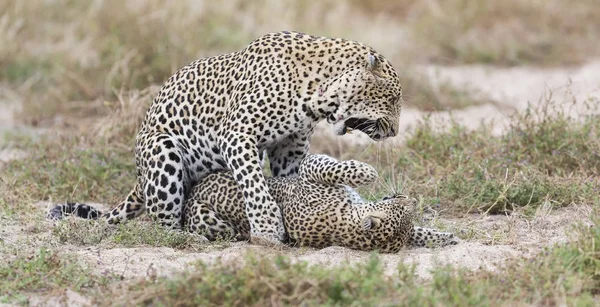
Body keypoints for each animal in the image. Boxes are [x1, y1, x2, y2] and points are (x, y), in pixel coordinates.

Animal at [57, 30, 404, 245]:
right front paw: (267, 227)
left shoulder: (289, 148)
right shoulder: (237, 134)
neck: (315, 94)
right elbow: (255, 186)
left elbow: (287, 181)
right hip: (163, 151)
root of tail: (139, 176)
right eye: (394, 100)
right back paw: (191, 239)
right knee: (162, 226)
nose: (395, 131)